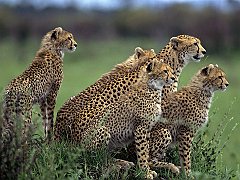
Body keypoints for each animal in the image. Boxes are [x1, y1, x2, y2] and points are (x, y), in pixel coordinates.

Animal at [54, 47, 176, 179]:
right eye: (164, 70)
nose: (173, 78)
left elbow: (146, 151)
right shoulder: (141, 128)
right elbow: (143, 152)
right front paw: (145, 172)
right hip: (102, 131)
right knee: (95, 158)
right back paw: (118, 165)